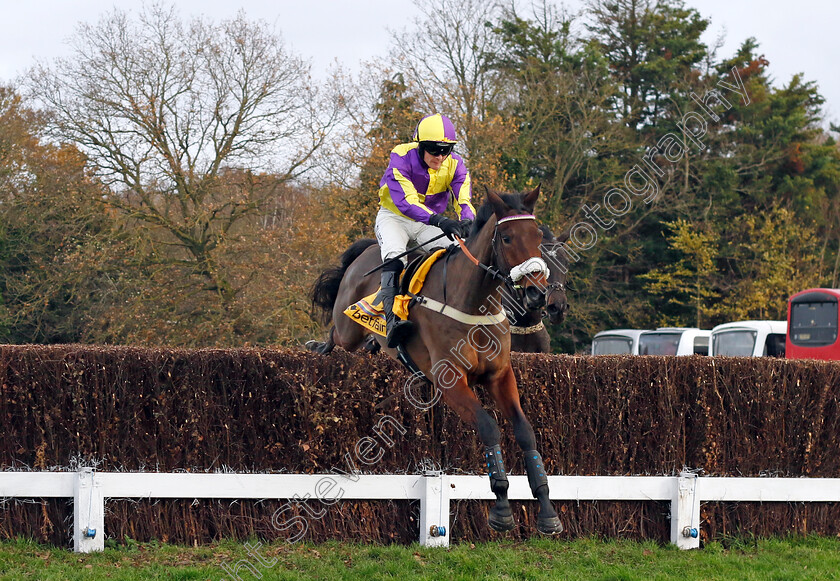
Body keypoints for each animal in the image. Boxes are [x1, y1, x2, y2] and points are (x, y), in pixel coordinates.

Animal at [306, 187, 560, 536]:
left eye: (537, 236)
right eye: (507, 238)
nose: (537, 293)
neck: (473, 304)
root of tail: (365, 251)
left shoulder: (500, 375)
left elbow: (525, 431)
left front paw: (547, 510)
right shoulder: (450, 380)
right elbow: (489, 427)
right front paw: (501, 508)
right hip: (348, 327)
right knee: (336, 332)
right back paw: (319, 346)